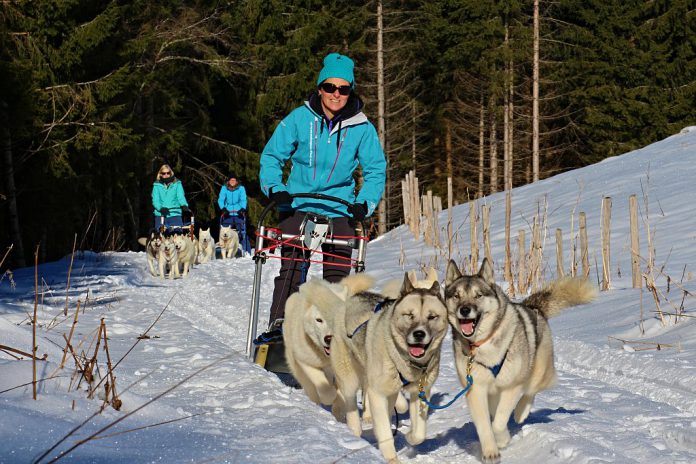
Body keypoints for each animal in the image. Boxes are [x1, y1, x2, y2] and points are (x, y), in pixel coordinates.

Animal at [282, 272, 376, 414]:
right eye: (319, 320)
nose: (329, 338)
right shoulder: (306, 361)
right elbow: (325, 389)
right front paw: (331, 398)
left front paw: (339, 407)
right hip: (298, 368)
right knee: (310, 388)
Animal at [444, 260, 596, 462]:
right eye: (456, 296)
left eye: (478, 295)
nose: (465, 310)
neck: (482, 344)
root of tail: (532, 307)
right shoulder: (476, 389)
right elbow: (485, 425)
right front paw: (490, 451)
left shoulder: (511, 386)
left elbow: (499, 422)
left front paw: (502, 439)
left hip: (540, 372)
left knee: (530, 391)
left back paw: (521, 412)